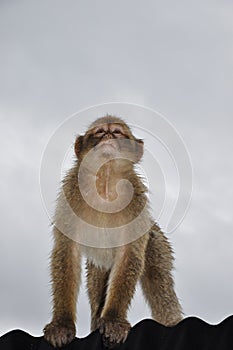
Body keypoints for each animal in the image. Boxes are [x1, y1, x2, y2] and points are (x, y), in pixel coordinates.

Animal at [43, 115, 182, 348]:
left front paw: (113, 320)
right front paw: (62, 324)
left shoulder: (136, 201)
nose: (108, 136)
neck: (105, 181)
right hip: (99, 265)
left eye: (117, 132)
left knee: (158, 279)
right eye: (99, 132)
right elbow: (67, 252)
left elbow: (129, 254)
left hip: (156, 240)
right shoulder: (70, 193)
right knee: (96, 285)